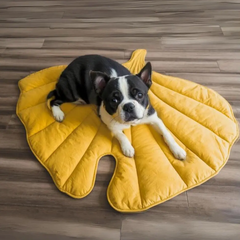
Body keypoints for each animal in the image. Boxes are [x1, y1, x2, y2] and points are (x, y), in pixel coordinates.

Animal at [46, 54, 186, 159]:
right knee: (54, 100)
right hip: (71, 94)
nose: (128, 106)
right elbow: (121, 135)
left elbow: (166, 133)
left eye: (140, 95)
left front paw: (177, 149)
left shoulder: (153, 118)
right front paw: (127, 147)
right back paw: (58, 113)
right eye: (114, 100)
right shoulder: (111, 123)